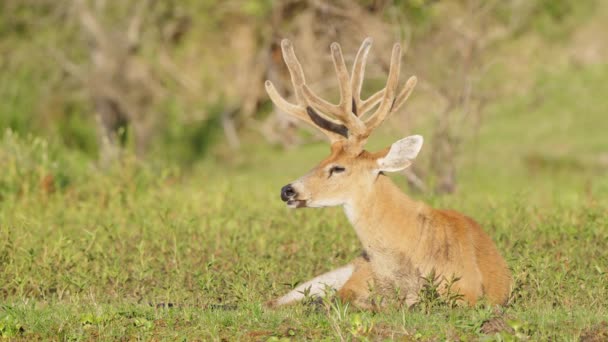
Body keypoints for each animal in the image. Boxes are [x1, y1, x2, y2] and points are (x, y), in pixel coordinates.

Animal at [264, 38, 510, 310]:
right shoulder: (355, 283)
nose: (287, 190)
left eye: (338, 167)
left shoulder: (467, 292)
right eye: (322, 160)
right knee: (276, 300)